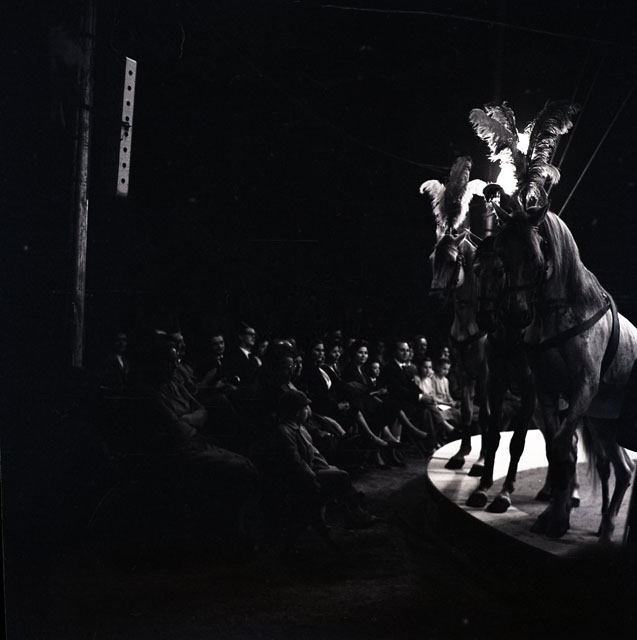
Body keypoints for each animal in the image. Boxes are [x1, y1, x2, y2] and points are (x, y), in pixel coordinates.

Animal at [493, 204, 637, 539]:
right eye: (502, 254)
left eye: (534, 255)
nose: (517, 315)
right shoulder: (547, 390)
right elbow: (559, 450)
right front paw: (555, 513)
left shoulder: (582, 389)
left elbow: (561, 445)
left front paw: (559, 516)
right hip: (602, 422)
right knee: (624, 469)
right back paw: (606, 525)